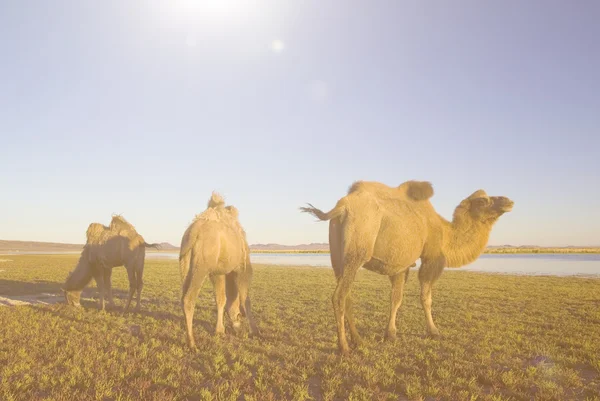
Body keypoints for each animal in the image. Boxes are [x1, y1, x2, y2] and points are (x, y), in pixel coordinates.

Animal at [180, 192, 260, 348]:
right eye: (239, 317)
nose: (238, 328)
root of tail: (193, 233)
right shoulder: (242, 269)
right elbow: (245, 299)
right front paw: (255, 331)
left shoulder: (218, 272)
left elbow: (221, 299)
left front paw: (219, 330)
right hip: (201, 266)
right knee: (189, 299)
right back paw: (192, 343)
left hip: (184, 263)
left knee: (182, 296)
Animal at [302, 180, 512, 354]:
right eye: (483, 201)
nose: (508, 200)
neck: (445, 232)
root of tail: (341, 207)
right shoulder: (431, 258)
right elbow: (426, 298)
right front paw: (434, 331)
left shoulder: (400, 266)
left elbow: (396, 299)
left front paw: (391, 334)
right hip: (357, 249)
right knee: (339, 296)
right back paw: (344, 347)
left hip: (336, 255)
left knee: (347, 296)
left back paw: (358, 340)